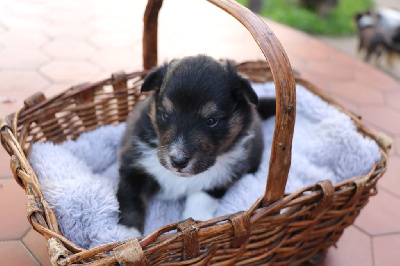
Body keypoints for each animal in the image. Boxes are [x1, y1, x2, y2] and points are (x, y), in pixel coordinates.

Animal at [117, 55, 276, 234]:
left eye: (212, 120)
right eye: (165, 114)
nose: (178, 161)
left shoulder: (222, 177)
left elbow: (201, 200)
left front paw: (199, 225)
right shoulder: (133, 166)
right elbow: (132, 201)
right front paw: (126, 235)